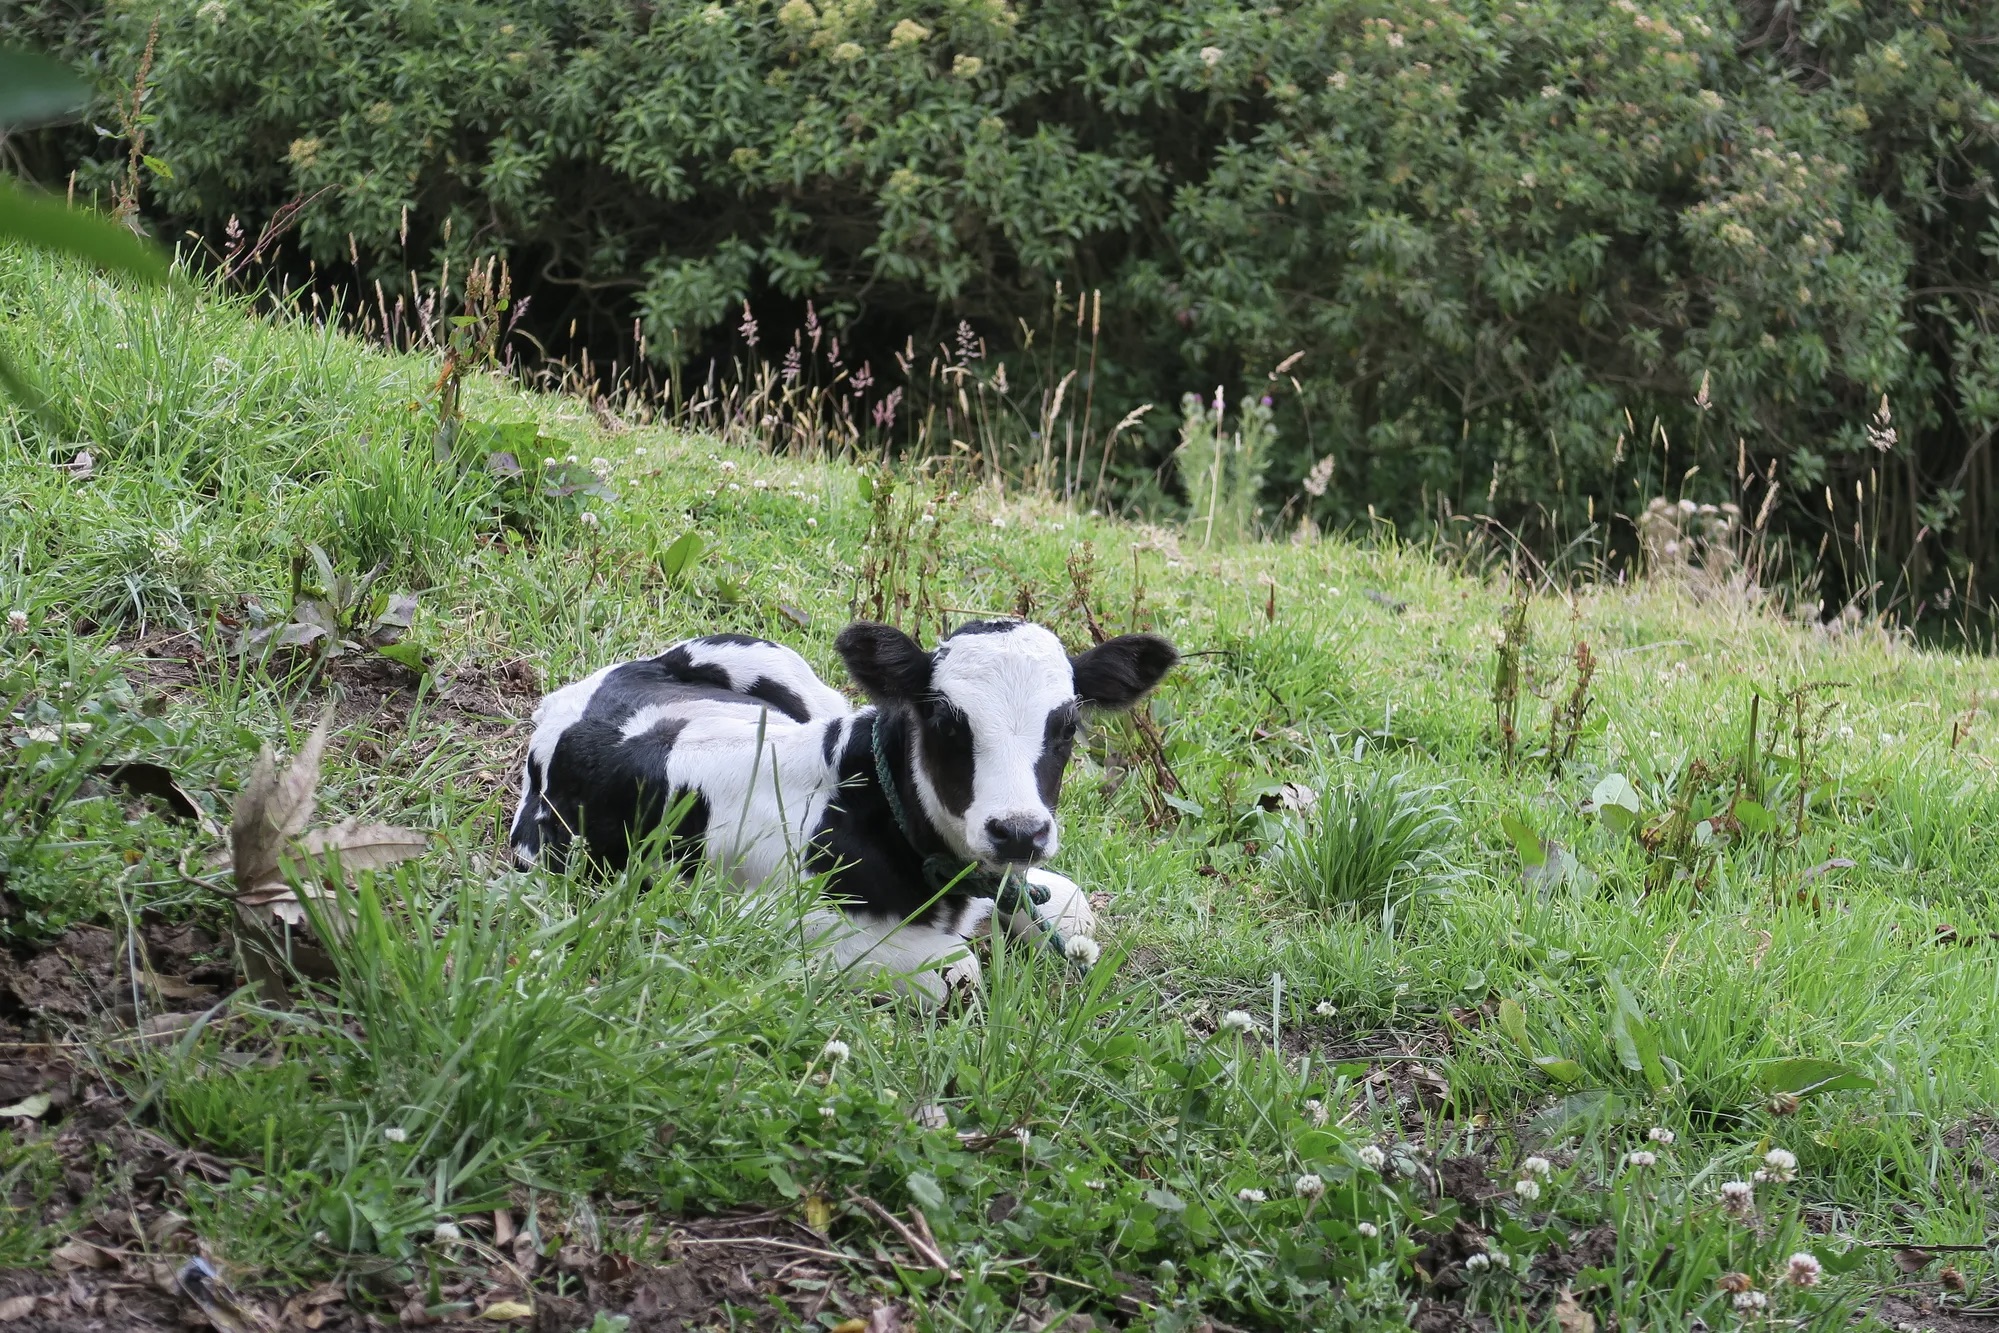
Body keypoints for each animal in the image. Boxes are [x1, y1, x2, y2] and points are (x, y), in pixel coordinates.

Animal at [507, 620, 1177, 997]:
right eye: (945, 721)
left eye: (1066, 726)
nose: (1019, 831)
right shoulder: (774, 922)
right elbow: (957, 970)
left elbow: (1072, 908)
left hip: (789, 669)